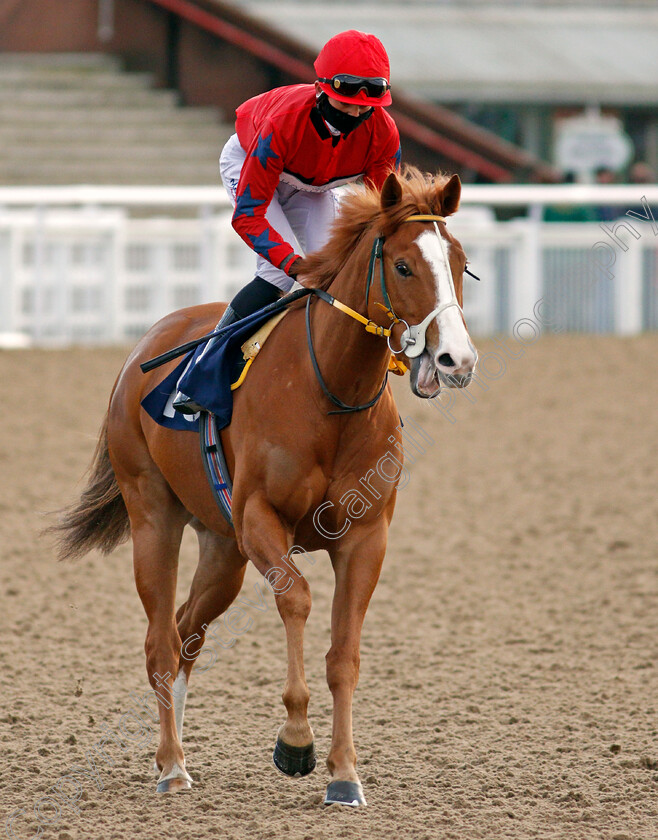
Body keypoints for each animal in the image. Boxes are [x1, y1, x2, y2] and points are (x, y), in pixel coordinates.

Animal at [50, 166, 472, 808]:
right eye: (403, 266)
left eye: (461, 261)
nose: (456, 360)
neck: (331, 394)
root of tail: (143, 346)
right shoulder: (260, 519)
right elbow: (296, 598)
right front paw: (295, 741)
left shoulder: (366, 537)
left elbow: (344, 655)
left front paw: (345, 775)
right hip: (155, 514)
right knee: (159, 642)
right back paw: (172, 766)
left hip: (222, 549)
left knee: (186, 631)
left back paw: (172, 753)